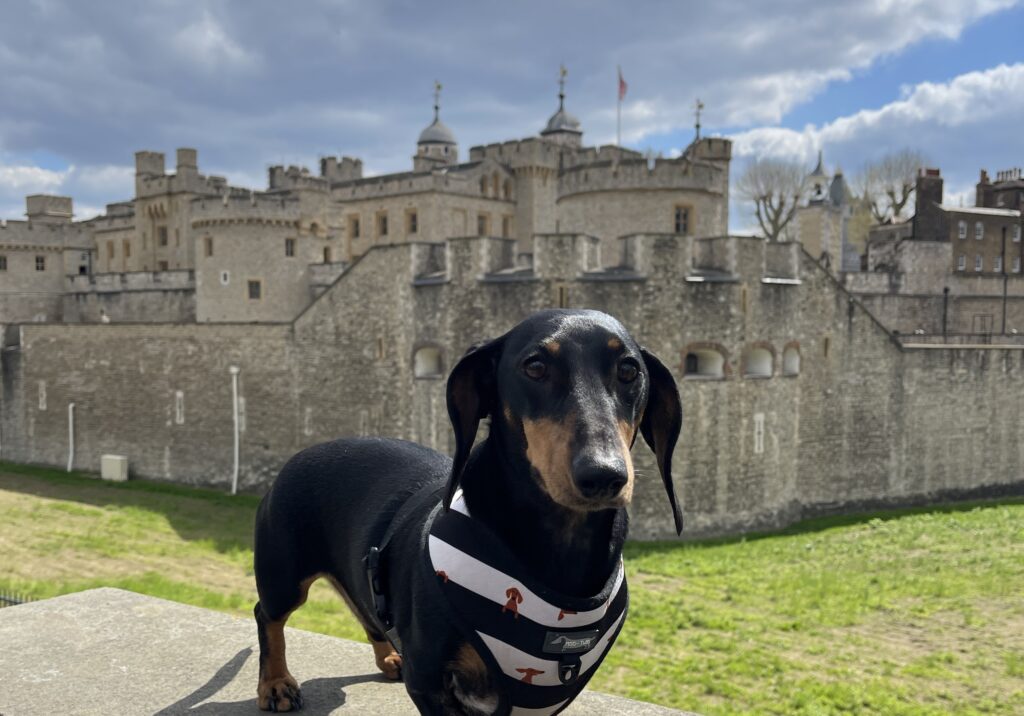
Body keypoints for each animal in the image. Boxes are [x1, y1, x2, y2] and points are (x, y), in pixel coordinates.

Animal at [249, 309, 679, 716]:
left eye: (629, 370)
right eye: (535, 366)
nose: (603, 475)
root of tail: (308, 450)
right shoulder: (430, 684)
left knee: (370, 616)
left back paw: (389, 657)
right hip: (283, 576)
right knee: (267, 615)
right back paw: (276, 684)